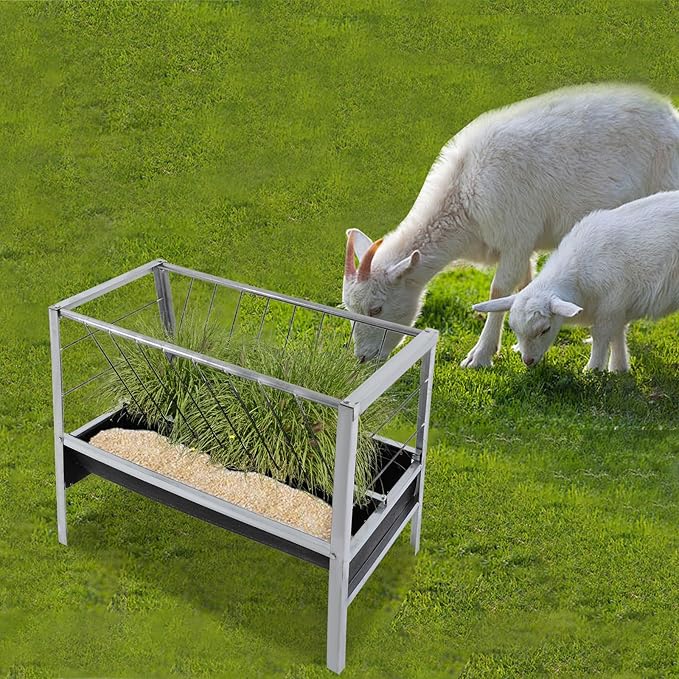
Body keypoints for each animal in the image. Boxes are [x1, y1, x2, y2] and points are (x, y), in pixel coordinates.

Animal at [472, 191, 679, 372]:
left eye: (545, 329)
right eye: (514, 330)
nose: (528, 361)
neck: (577, 274)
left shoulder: (611, 304)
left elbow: (601, 336)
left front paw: (593, 370)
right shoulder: (617, 310)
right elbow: (617, 335)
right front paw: (619, 369)